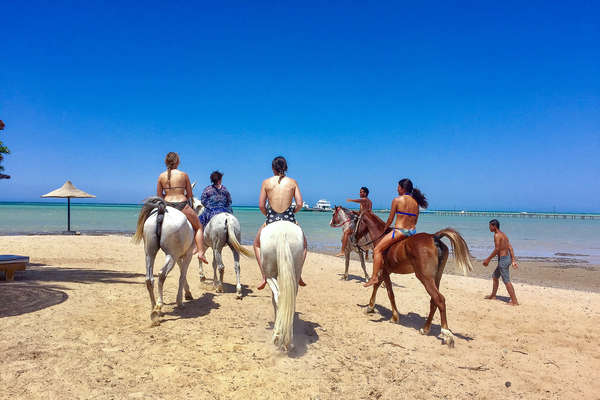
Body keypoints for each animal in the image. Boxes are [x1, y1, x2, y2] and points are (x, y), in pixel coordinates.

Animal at [134, 196, 195, 324]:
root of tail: (162, 210)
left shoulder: (178, 257)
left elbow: (183, 274)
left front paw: (187, 293)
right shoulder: (188, 255)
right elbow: (182, 276)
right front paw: (180, 301)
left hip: (150, 253)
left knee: (149, 279)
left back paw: (154, 307)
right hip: (171, 255)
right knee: (162, 274)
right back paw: (158, 306)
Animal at [260, 220, 304, 352]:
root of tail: (282, 231)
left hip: (269, 274)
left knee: (279, 296)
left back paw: (278, 335)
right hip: (296, 271)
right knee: (290, 298)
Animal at [354, 212, 472, 346]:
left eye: (355, 221)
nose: (353, 239)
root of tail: (434, 237)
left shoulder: (385, 272)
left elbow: (389, 293)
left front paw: (394, 317)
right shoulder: (386, 271)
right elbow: (377, 286)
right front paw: (370, 307)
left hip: (425, 278)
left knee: (440, 299)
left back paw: (446, 333)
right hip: (436, 278)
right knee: (434, 301)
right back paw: (425, 329)